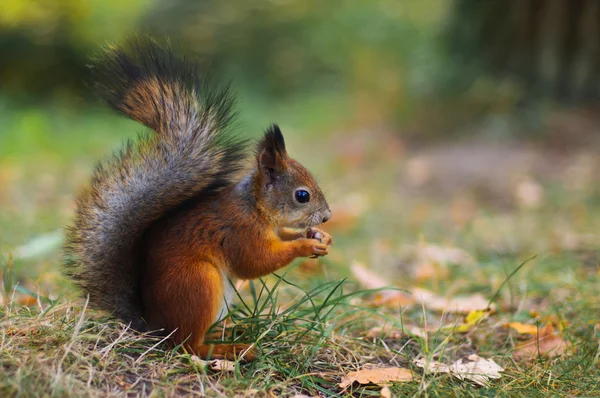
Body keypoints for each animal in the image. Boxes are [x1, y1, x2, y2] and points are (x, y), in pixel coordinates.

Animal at [64, 38, 332, 360]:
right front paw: (304, 245)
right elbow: (255, 263)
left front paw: (319, 237)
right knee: (188, 344)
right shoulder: (239, 231)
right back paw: (228, 348)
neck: (254, 207)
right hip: (198, 282)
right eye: (302, 195)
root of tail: (153, 326)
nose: (327, 216)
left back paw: (224, 333)